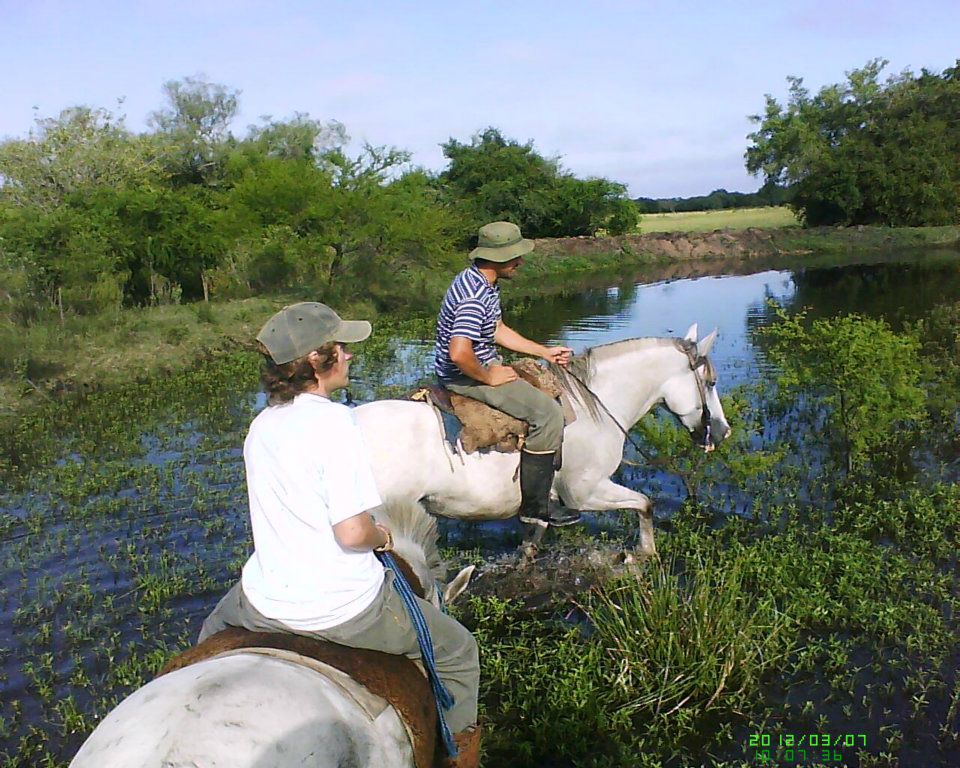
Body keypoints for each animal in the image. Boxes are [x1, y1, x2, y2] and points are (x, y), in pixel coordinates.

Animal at [356, 320, 732, 556]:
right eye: (711, 382)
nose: (723, 431)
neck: (594, 407)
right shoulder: (584, 493)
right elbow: (645, 504)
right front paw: (646, 554)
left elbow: (531, 542)